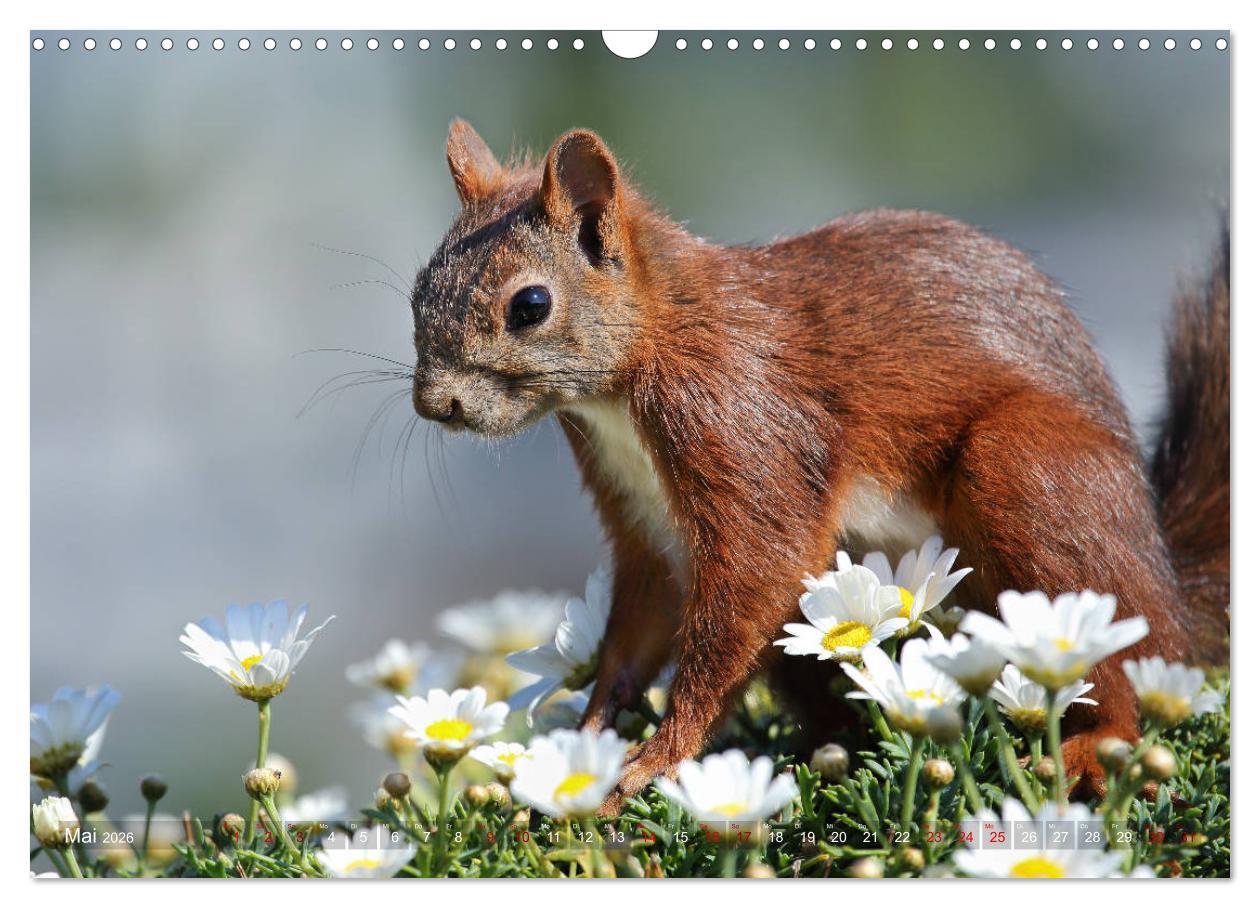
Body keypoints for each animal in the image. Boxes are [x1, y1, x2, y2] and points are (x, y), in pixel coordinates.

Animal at [408, 119, 1229, 814]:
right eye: (418, 292)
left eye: (530, 305)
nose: (434, 404)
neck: (640, 363)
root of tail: (1169, 586)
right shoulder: (642, 520)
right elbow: (635, 629)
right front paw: (590, 739)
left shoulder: (741, 419)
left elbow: (757, 575)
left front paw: (660, 756)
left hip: (1029, 471)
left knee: (1124, 656)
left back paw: (1098, 741)